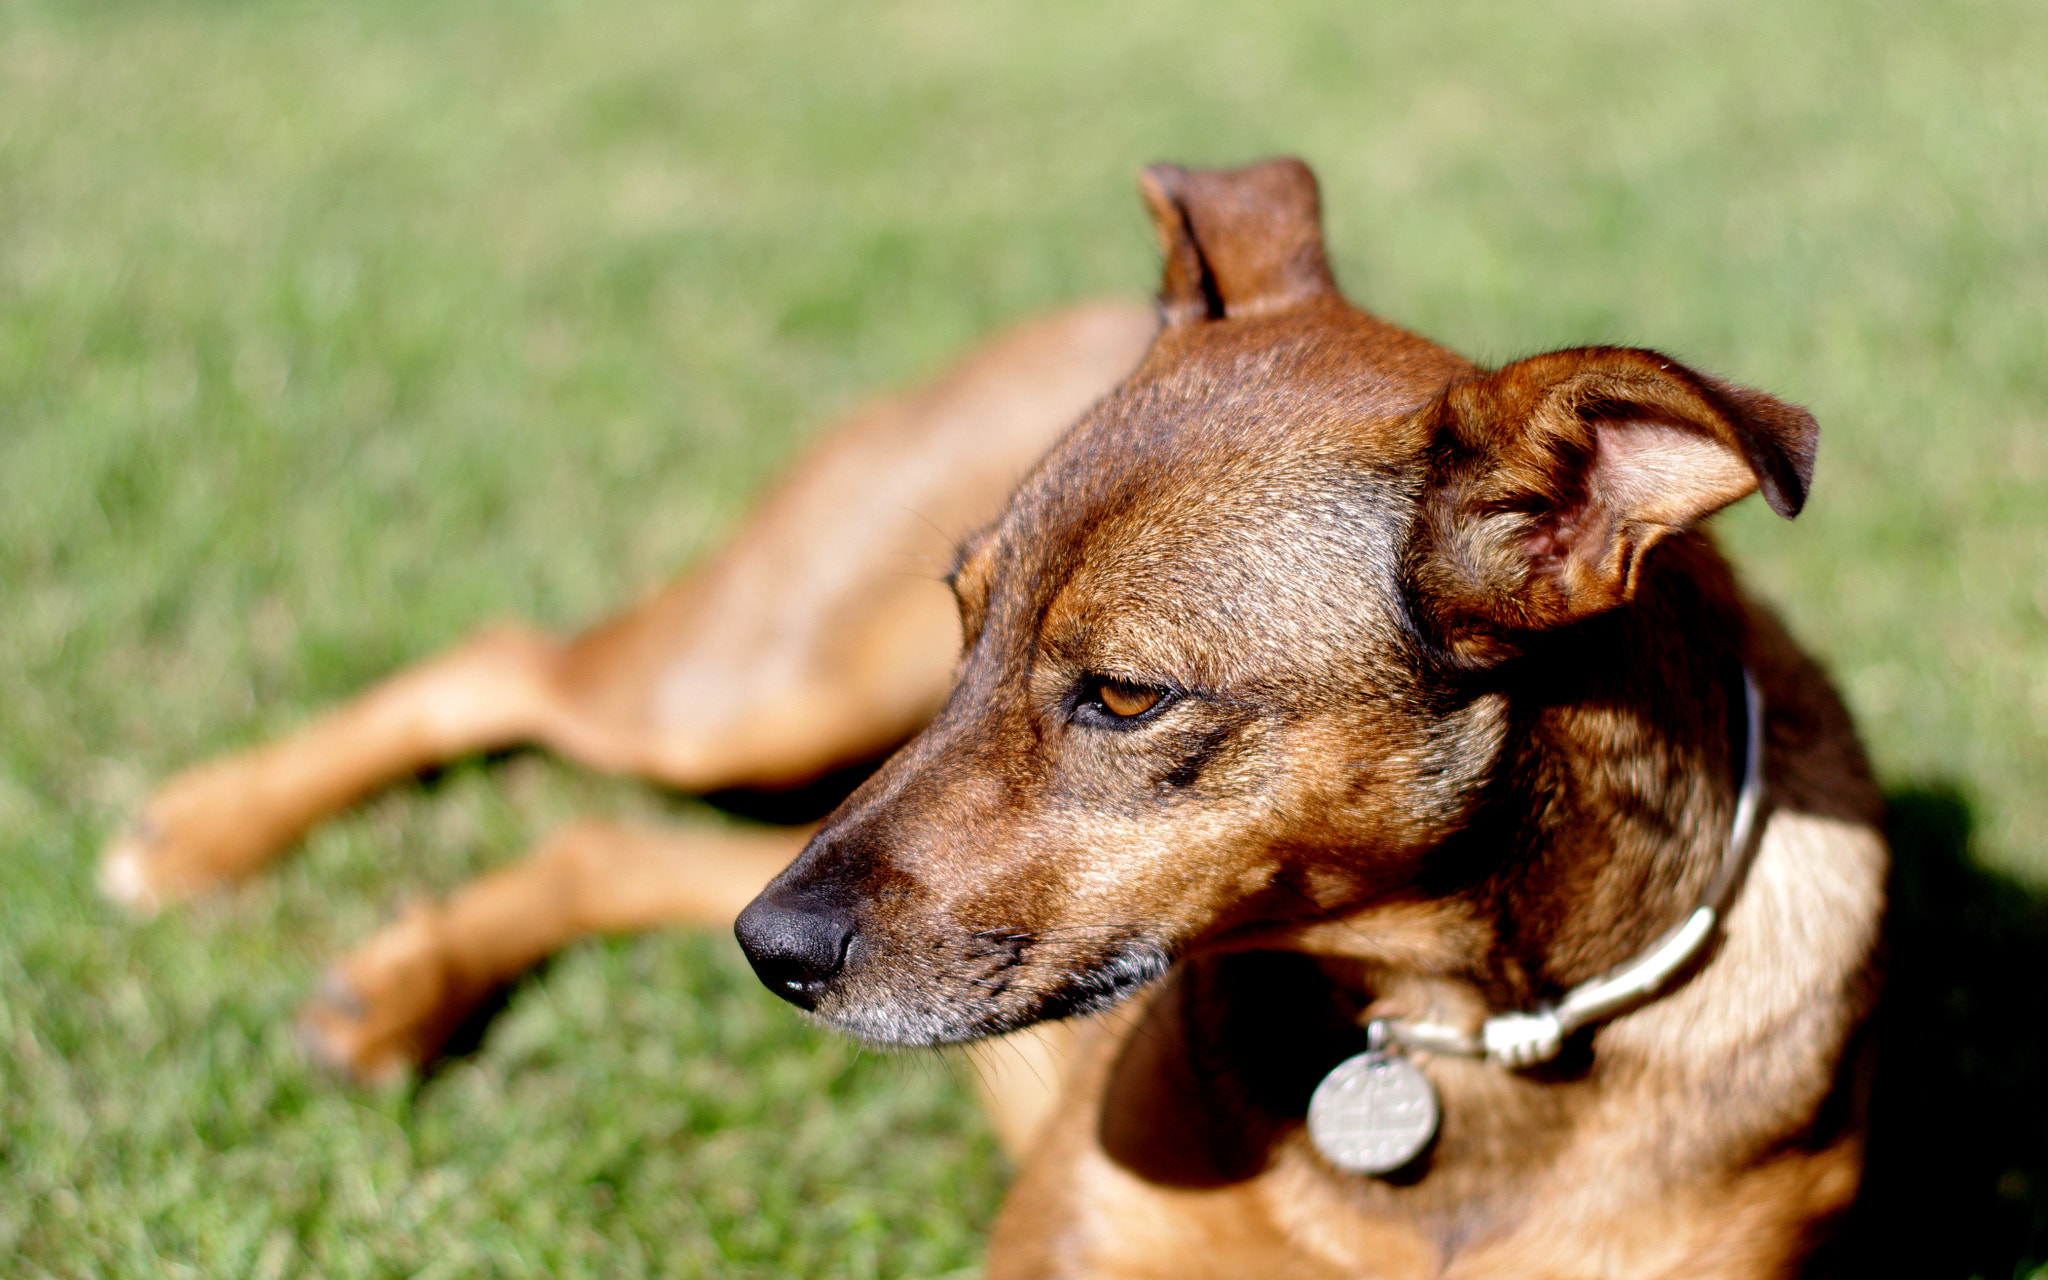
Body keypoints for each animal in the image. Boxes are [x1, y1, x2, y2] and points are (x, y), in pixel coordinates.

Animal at [108, 157, 1884, 1269]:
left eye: (1124, 695)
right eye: (965, 620)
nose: (775, 955)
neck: (1460, 1032)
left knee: (614, 847)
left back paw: (394, 987)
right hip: (768, 696)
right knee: (501, 666)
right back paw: (203, 837)